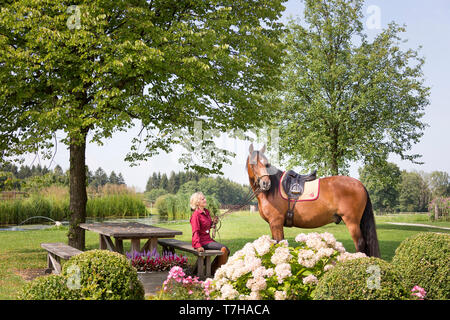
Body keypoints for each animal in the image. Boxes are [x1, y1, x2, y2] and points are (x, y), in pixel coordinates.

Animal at [246, 143, 380, 258]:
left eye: (267, 164)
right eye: (253, 164)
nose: (266, 183)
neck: (271, 191)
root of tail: (360, 184)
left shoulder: (276, 222)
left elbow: (279, 244)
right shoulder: (274, 224)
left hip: (352, 222)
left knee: (360, 243)